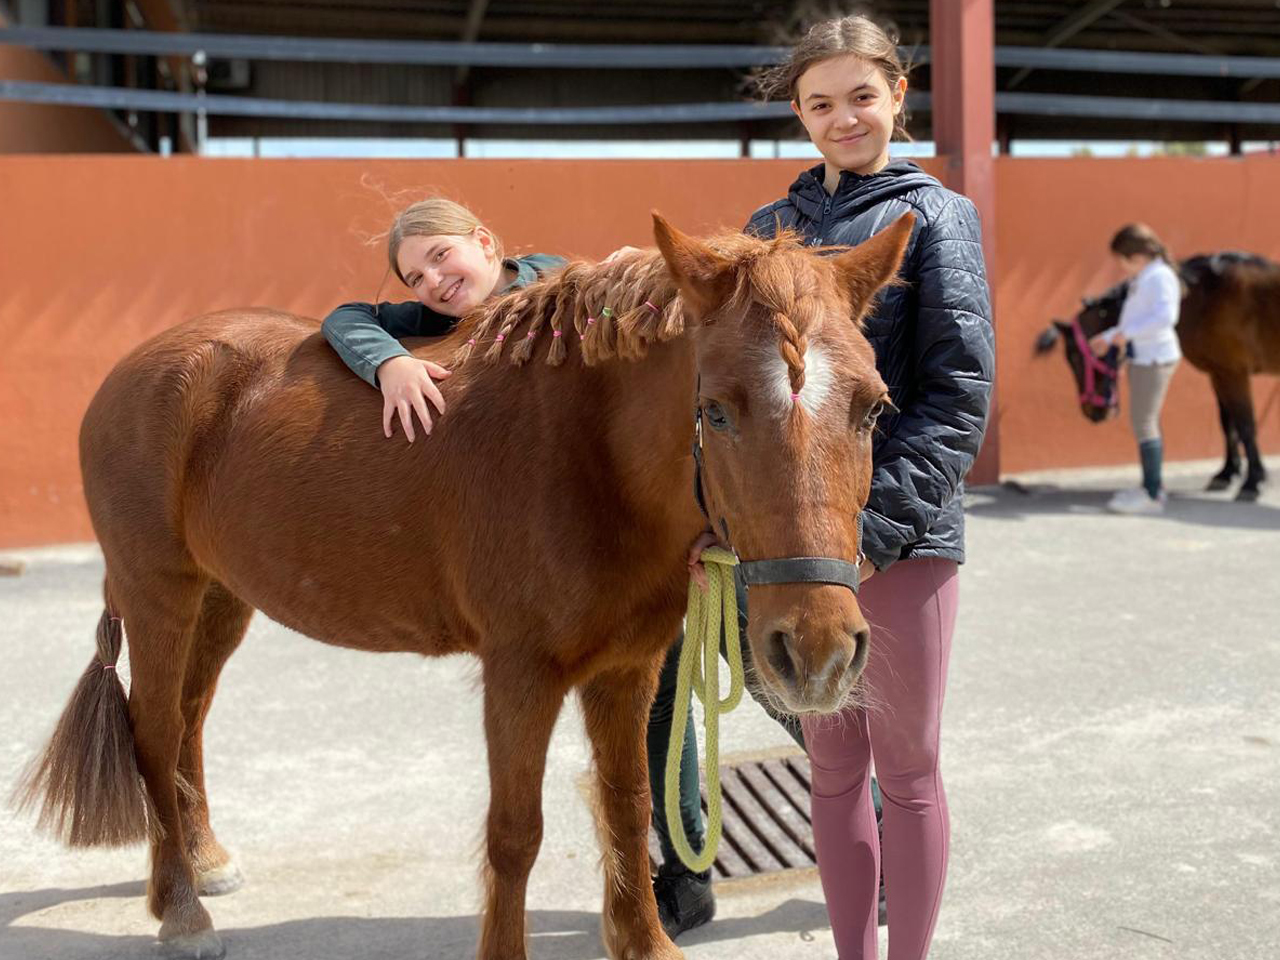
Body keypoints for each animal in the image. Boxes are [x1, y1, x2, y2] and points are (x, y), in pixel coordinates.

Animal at [13, 212, 914, 960]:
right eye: (718, 410)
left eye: (873, 408)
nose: (818, 652)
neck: (585, 452)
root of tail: (136, 370)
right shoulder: (520, 673)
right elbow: (515, 834)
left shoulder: (630, 668)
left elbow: (626, 804)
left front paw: (646, 943)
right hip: (157, 590)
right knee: (153, 730)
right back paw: (182, 912)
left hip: (222, 596)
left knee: (188, 720)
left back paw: (201, 863)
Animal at [1035, 252, 1280, 501]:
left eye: (1075, 357)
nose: (1092, 412)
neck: (1206, 296)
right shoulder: (1219, 373)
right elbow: (1227, 423)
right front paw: (1226, 473)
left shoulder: (1233, 374)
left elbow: (1245, 425)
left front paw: (1253, 482)